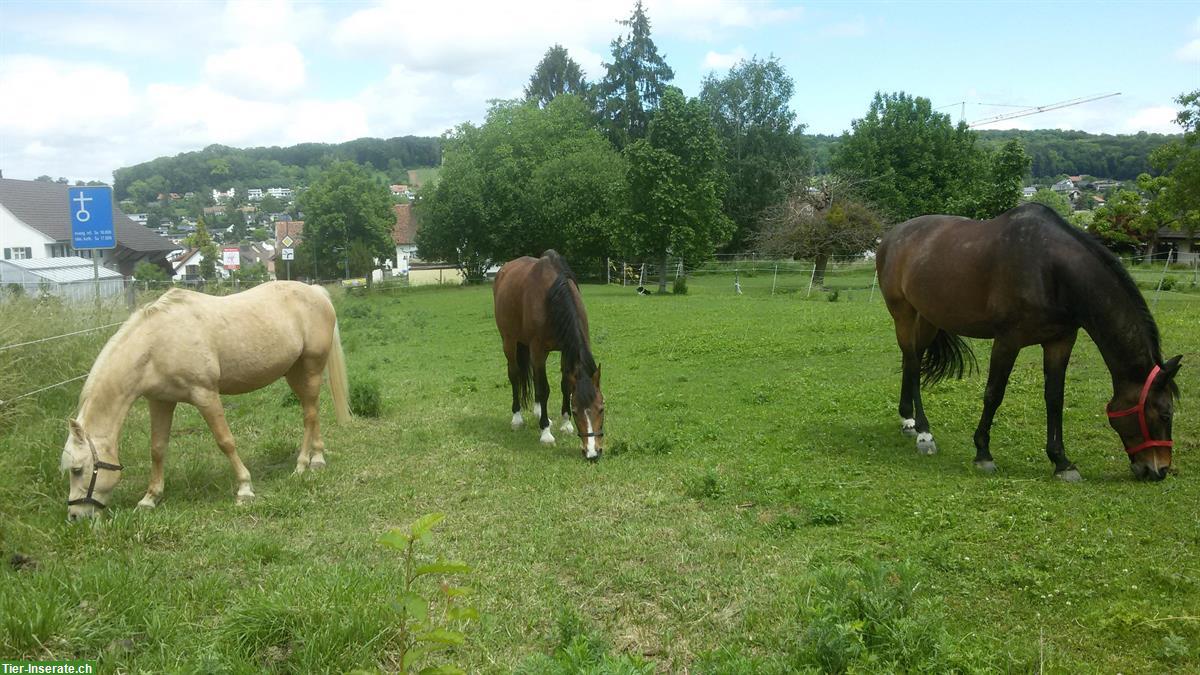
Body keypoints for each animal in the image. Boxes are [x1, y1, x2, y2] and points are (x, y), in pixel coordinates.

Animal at [60, 281, 350, 516]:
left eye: (77, 470)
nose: (75, 516)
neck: (157, 343)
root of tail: (315, 291)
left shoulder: (205, 395)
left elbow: (225, 441)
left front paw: (245, 489)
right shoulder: (160, 401)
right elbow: (157, 448)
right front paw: (150, 498)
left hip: (311, 368)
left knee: (309, 415)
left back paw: (302, 466)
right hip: (295, 372)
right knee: (312, 410)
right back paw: (317, 459)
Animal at [492, 249, 604, 458]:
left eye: (601, 408)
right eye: (576, 411)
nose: (593, 453)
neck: (552, 296)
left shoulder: (565, 350)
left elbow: (565, 385)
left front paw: (565, 424)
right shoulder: (538, 350)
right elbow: (544, 389)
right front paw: (546, 434)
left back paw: (538, 412)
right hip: (510, 342)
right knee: (515, 376)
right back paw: (517, 418)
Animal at [873, 201, 1180, 480]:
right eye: (1165, 414)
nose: (1159, 470)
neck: (1050, 269)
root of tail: (891, 236)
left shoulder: (1060, 341)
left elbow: (1054, 397)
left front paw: (1061, 462)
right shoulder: (1007, 340)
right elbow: (994, 394)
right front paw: (983, 454)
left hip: (928, 318)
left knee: (912, 360)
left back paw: (908, 420)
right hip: (904, 314)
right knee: (913, 362)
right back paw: (924, 433)